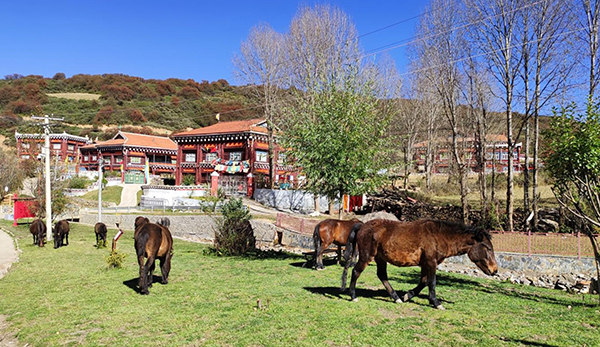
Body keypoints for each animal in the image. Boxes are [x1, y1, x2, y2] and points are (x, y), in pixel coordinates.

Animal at [340, 220, 500, 310]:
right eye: (488, 248)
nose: (494, 270)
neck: (439, 236)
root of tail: (362, 225)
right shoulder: (431, 262)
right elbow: (432, 282)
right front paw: (436, 303)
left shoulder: (425, 264)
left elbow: (423, 281)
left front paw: (407, 295)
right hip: (367, 256)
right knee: (356, 272)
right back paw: (353, 295)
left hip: (380, 258)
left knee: (382, 275)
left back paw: (396, 298)